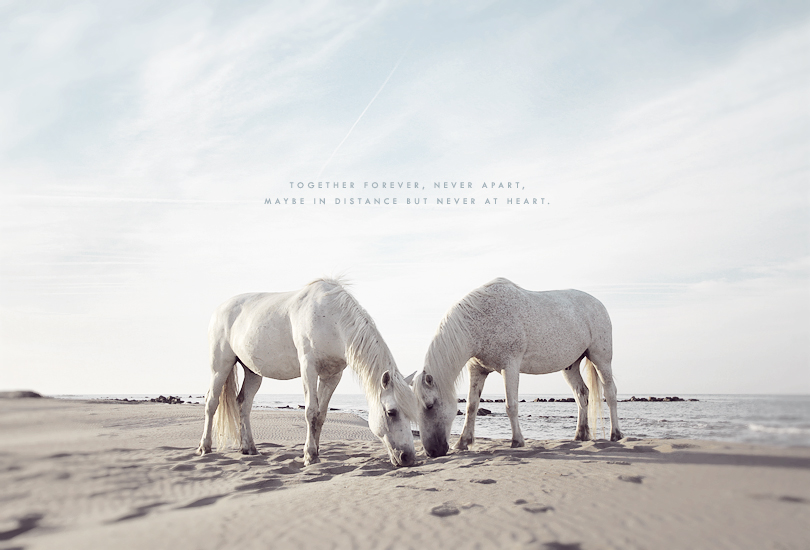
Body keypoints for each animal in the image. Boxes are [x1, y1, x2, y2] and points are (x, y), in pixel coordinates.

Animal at [194, 280, 416, 470]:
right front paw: (309, 455)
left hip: (253, 372)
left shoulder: (332, 375)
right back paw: (204, 447)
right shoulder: (308, 368)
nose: (408, 458)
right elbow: (310, 411)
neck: (332, 319)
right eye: (391, 412)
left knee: (244, 404)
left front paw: (316, 452)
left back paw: (249, 448)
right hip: (220, 366)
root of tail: (220, 308)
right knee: (211, 402)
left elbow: (321, 415)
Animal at [414, 278, 620, 460]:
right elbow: (471, 406)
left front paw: (517, 441)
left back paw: (615, 435)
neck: (480, 320)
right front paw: (463, 442)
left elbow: (511, 405)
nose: (432, 452)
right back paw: (580, 435)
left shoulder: (510, 367)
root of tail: (598, 303)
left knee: (610, 393)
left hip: (601, 359)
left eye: (430, 405)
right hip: (570, 366)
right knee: (581, 394)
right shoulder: (477, 371)